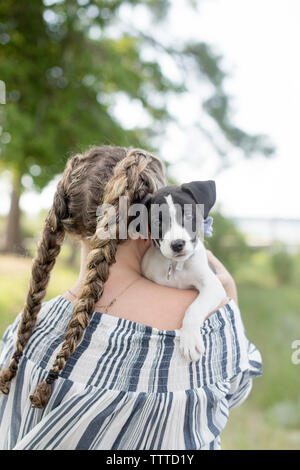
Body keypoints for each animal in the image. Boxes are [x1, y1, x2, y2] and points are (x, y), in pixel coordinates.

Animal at [139, 179, 226, 360]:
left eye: (188, 216)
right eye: (158, 222)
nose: (177, 244)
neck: (176, 265)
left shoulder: (213, 286)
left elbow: (195, 308)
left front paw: (190, 339)